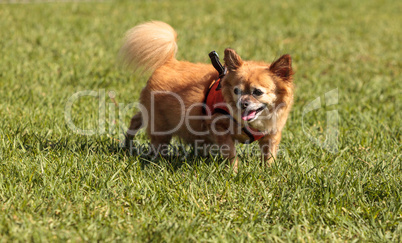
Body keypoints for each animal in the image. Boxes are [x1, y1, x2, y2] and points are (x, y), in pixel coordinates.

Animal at [121, 20, 294, 170]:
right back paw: (154, 158)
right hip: (161, 127)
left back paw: (128, 144)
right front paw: (234, 171)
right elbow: (231, 153)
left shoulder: (271, 134)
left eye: (257, 92)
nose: (242, 102)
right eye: (236, 91)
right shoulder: (220, 128)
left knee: (136, 119)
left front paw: (268, 172)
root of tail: (169, 62)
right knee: (156, 142)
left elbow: (269, 155)